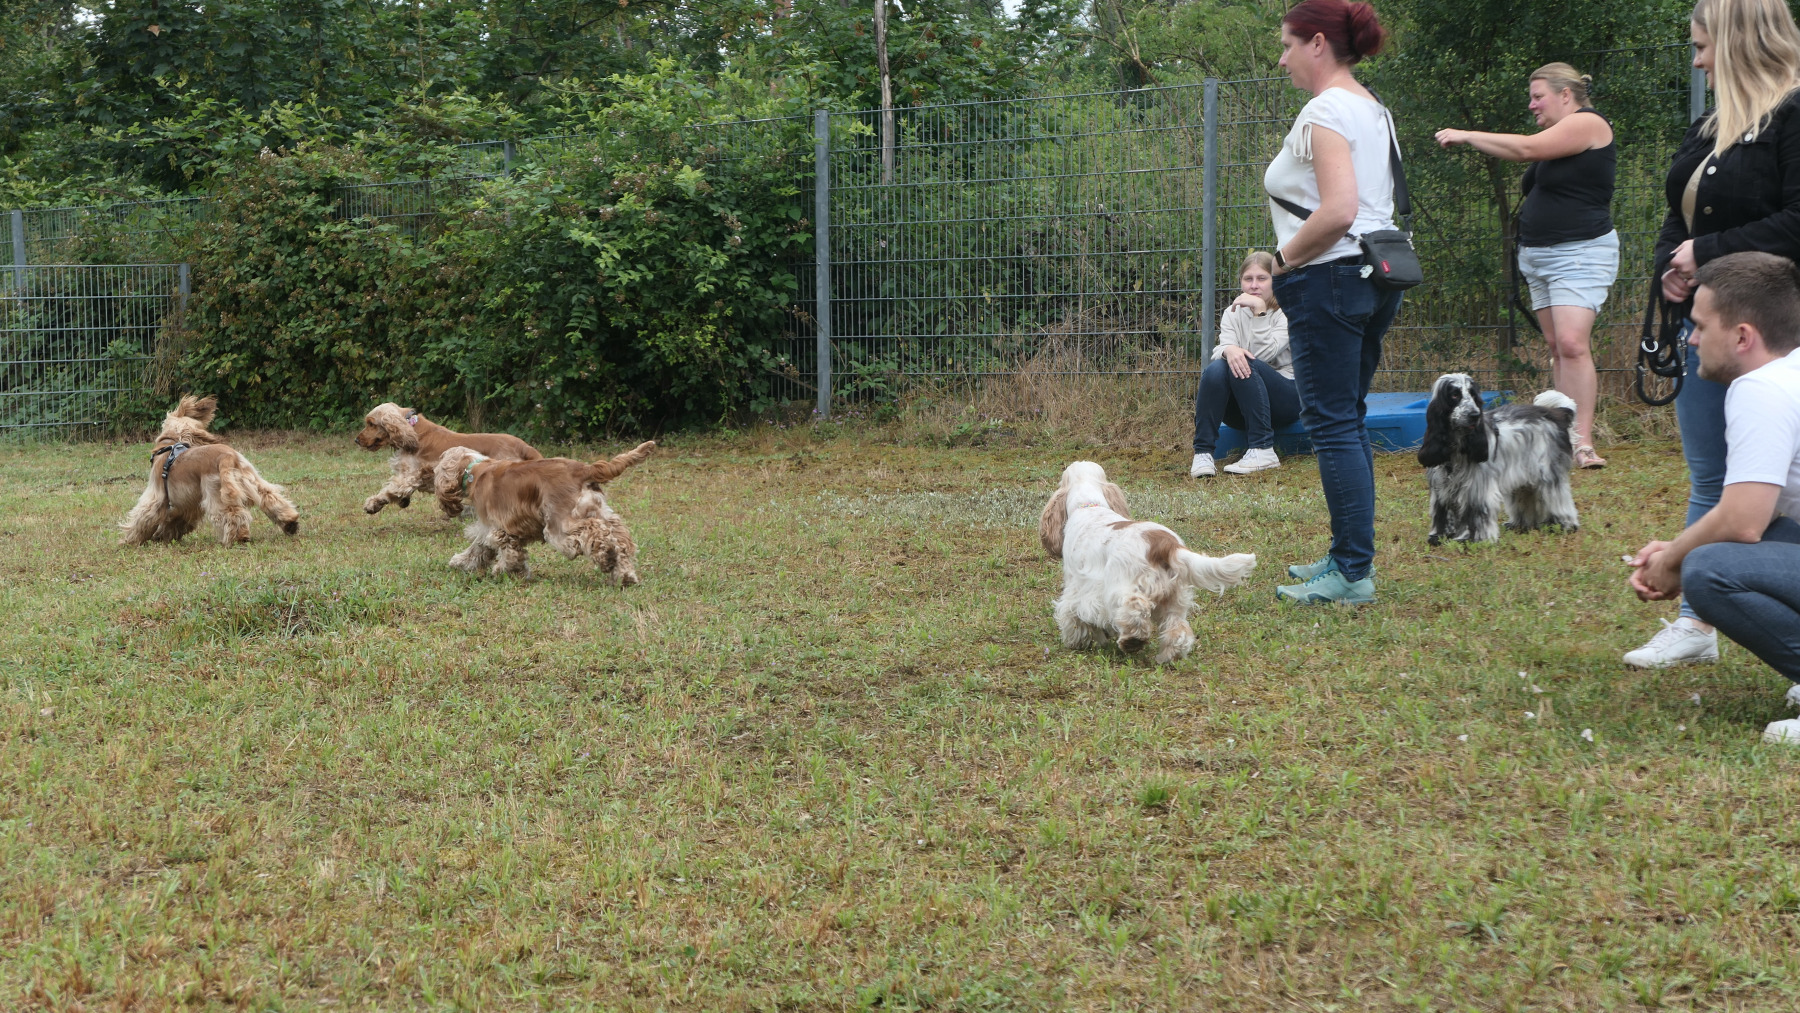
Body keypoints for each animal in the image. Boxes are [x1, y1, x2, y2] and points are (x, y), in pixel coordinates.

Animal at [119, 395, 301, 546]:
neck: (170, 444)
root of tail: (228, 456)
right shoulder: (185, 504)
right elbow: (174, 521)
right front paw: (161, 536)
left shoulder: (157, 496)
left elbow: (142, 517)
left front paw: (129, 540)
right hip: (252, 482)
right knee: (270, 498)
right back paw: (290, 523)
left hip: (215, 493)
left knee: (232, 515)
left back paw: (239, 537)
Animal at [354, 403, 541, 518]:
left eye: (371, 423)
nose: (356, 440)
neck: (411, 429)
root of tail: (524, 446)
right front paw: (403, 501)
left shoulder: (410, 475)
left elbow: (389, 490)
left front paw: (372, 504)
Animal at [433, 441, 656, 584]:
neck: (475, 469)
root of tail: (583, 469)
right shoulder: (490, 528)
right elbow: (478, 549)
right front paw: (460, 562)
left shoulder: (498, 527)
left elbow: (508, 553)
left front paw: (505, 570)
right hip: (600, 511)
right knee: (621, 540)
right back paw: (625, 575)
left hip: (559, 525)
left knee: (595, 532)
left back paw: (608, 558)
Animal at [1038, 461, 1257, 664]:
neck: (1090, 504)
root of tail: (1167, 545)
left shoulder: (1078, 586)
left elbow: (1073, 615)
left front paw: (1076, 641)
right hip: (1175, 598)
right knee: (1178, 629)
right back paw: (1168, 656)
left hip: (1124, 588)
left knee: (1136, 608)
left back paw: (1132, 641)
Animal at [1418, 374, 1580, 545]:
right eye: (1455, 395)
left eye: (1473, 395)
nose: (1475, 415)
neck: (1458, 446)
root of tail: (1557, 414)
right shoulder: (1442, 488)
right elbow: (1442, 512)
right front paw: (1439, 536)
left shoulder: (1476, 487)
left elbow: (1475, 513)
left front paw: (1473, 539)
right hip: (1524, 479)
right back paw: (1522, 524)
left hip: (1548, 473)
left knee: (1558, 498)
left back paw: (1564, 524)